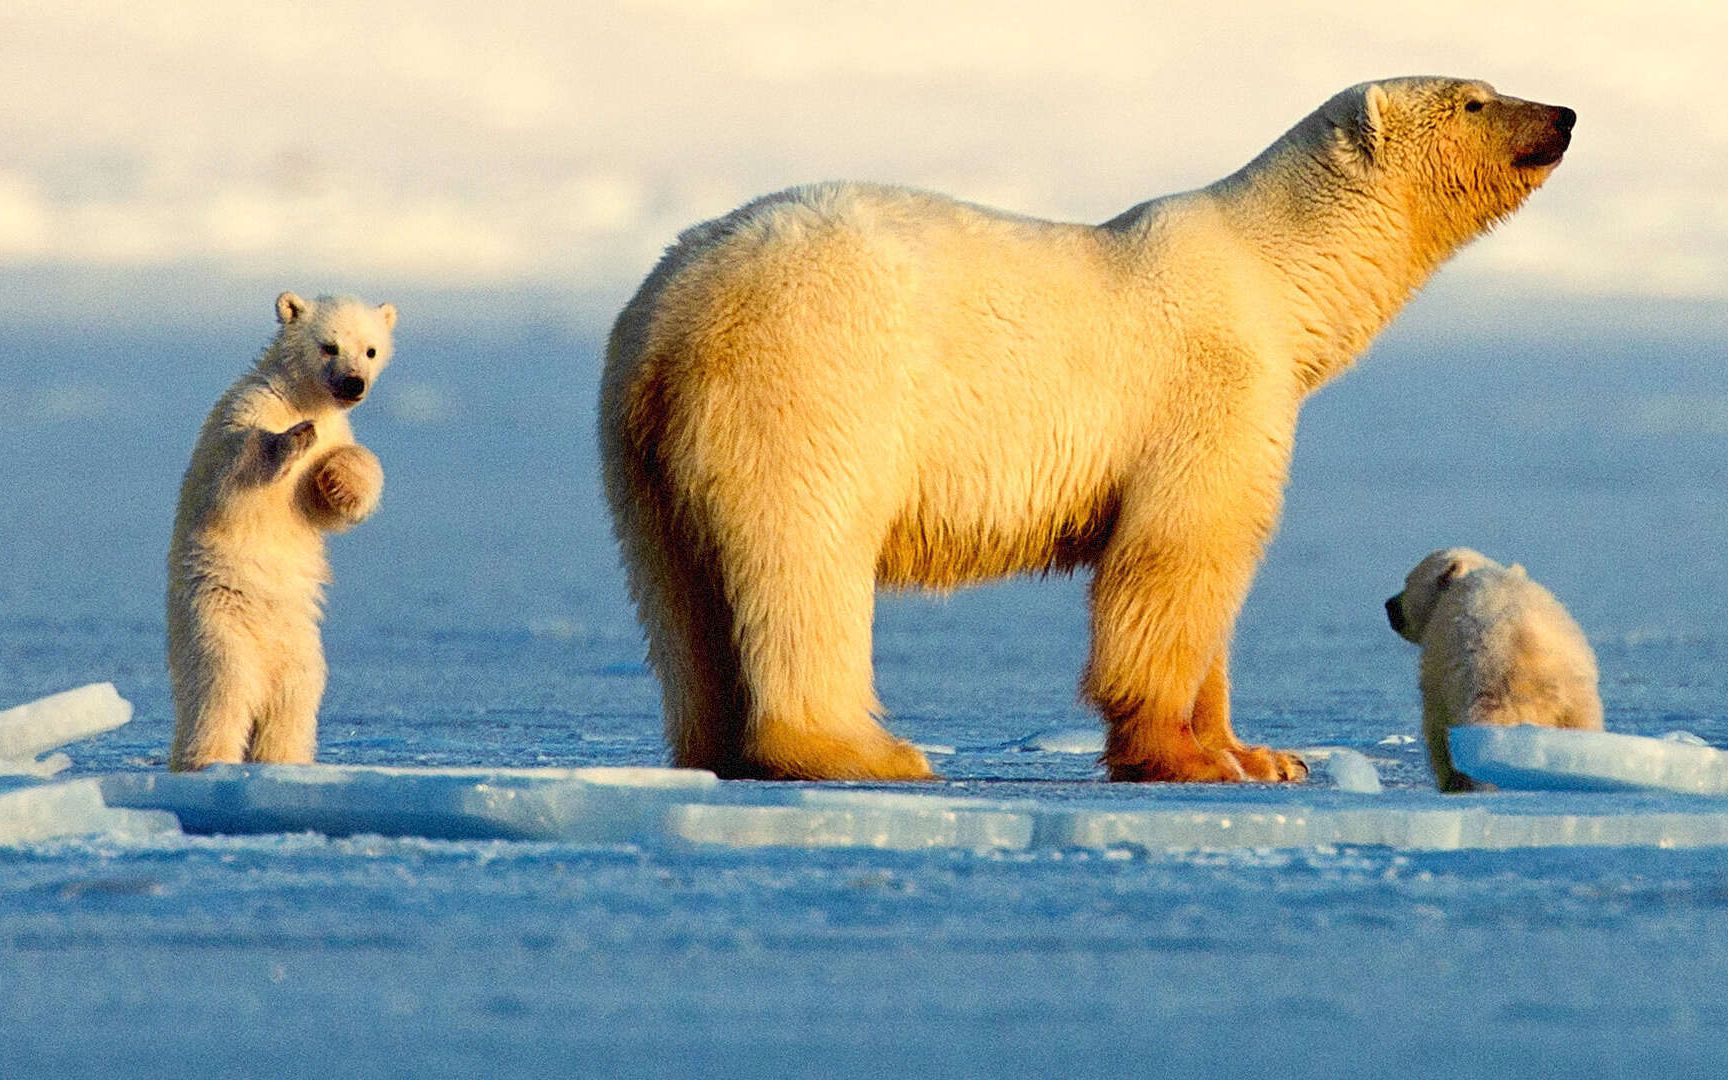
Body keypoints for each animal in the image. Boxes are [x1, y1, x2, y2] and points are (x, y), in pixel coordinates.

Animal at [601, 77, 1575, 784]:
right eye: (1475, 98)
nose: (1564, 114)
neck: (1275, 274)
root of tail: (674, 312)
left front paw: (1264, 754)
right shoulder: (1210, 391)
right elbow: (1177, 559)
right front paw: (1187, 759)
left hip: (638, 445)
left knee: (678, 596)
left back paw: (714, 747)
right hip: (811, 385)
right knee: (806, 558)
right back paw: (862, 752)